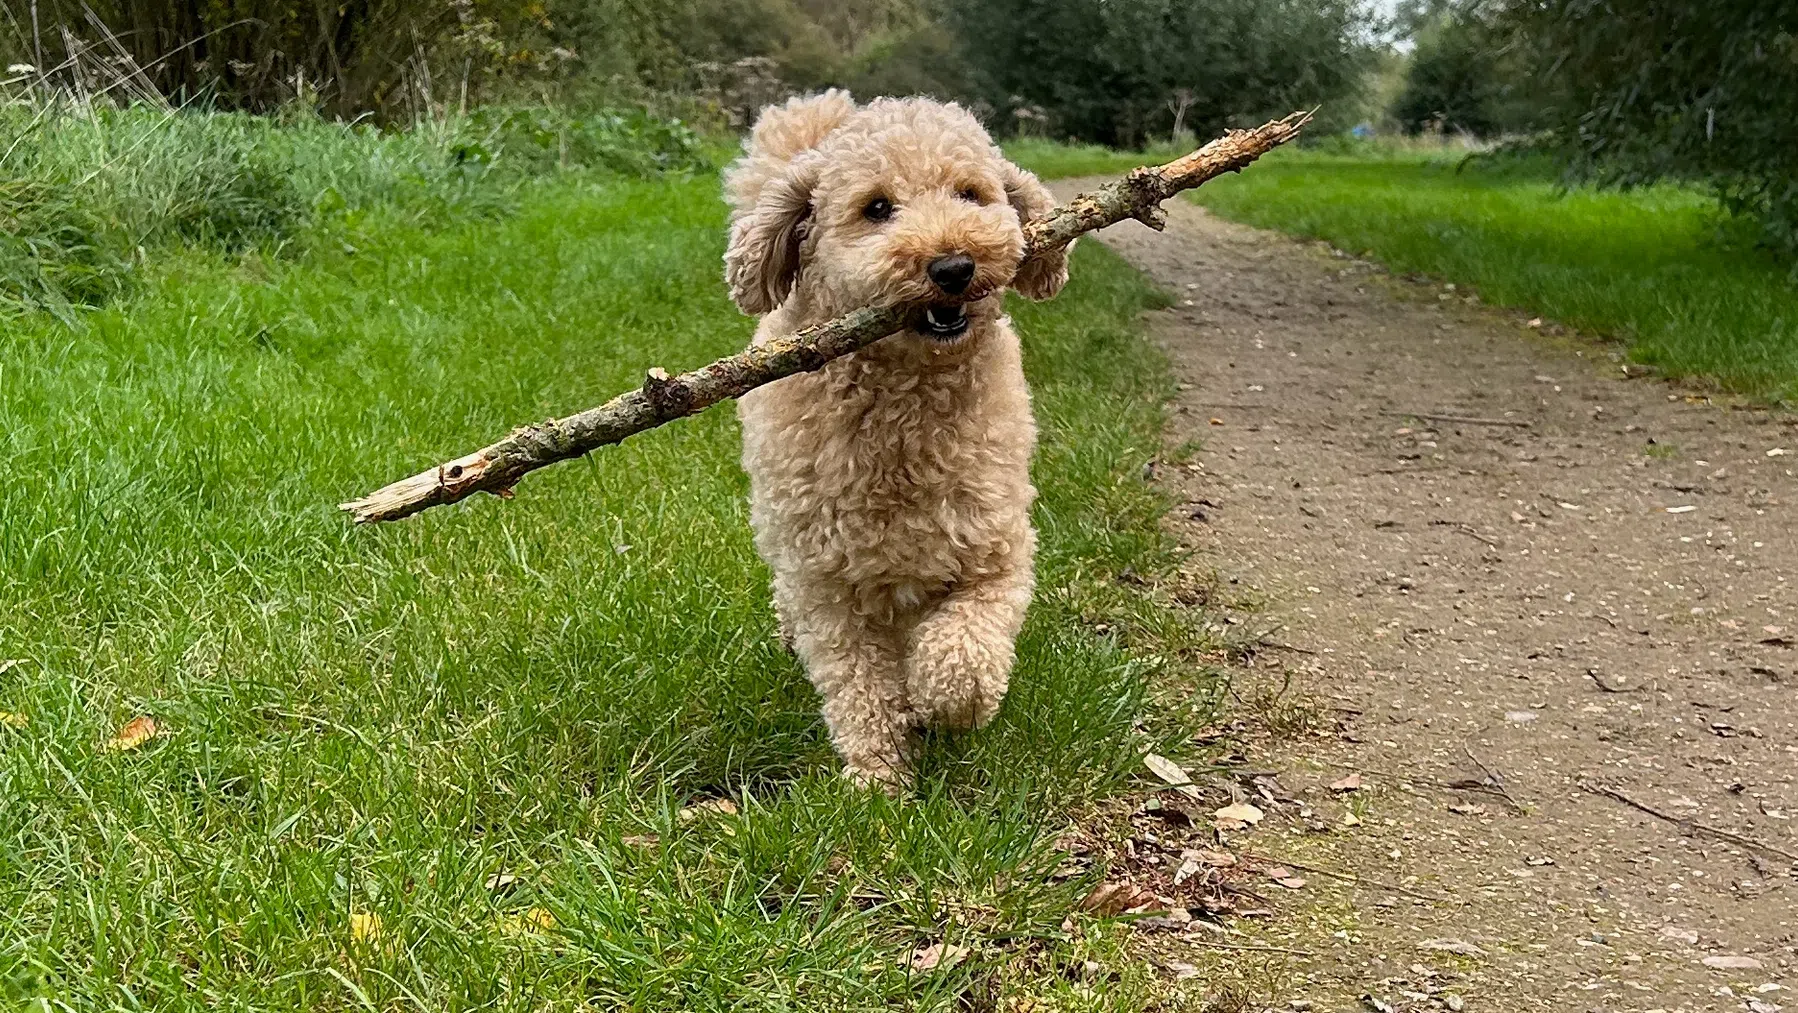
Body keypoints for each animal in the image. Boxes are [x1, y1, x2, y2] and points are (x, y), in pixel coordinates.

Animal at [722, 91, 1071, 784]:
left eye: (971, 194)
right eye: (877, 208)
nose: (954, 265)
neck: (907, 403)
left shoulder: (997, 549)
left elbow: (966, 651)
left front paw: (940, 704)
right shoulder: (828, 584)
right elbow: (858, 684)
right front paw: (879, 779)